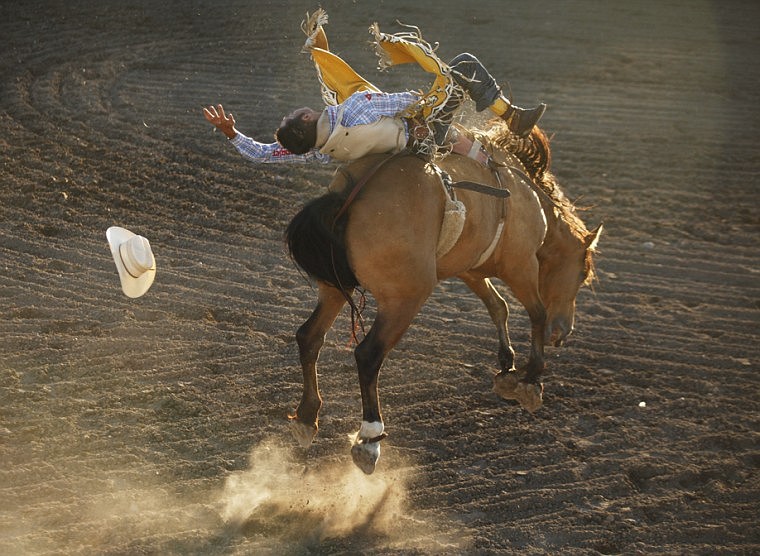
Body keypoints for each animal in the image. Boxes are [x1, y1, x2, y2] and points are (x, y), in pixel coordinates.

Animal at [284, 122, 600, 474]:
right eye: (582, 273)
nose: (563, 332)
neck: (524, 195)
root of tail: (348, 194)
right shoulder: (521, 265)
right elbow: (536, 313)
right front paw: (530, 379)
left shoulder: (471, 269)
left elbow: (498, 307)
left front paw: (506, 365)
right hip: (405, 298)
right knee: (368, 355)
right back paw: (369, 439)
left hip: (335, 288)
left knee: (310, 337)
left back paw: (306, 417)